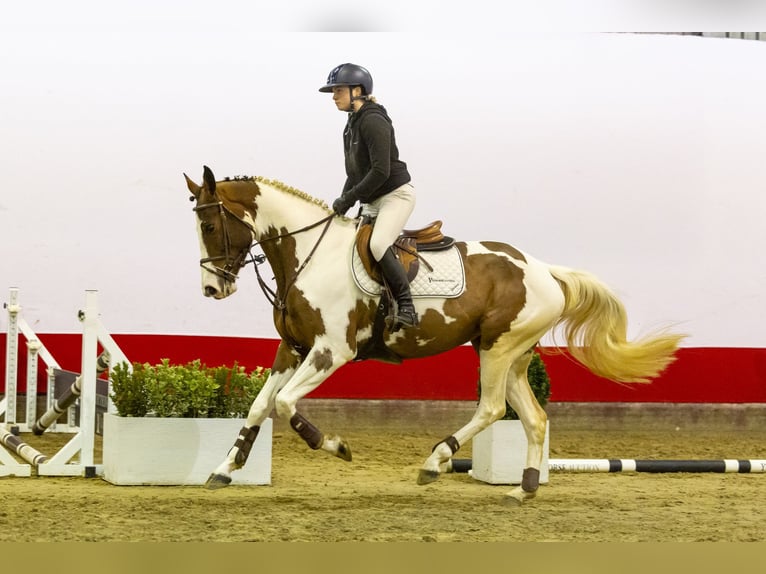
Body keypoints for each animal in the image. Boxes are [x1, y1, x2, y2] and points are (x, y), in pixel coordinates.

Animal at [184, 165, 684, 504]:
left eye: (209, 226)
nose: (212, 289)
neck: (309, 254)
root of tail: (544, 270)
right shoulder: (293, 348)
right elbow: (259, 406)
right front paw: (225, 469)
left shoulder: (331, 351)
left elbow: (286, 405)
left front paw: (337, 447)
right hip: (513, 353)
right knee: (534, 417)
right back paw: (521, 491)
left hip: (498, 349)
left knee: (492, 408)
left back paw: (435, 462)